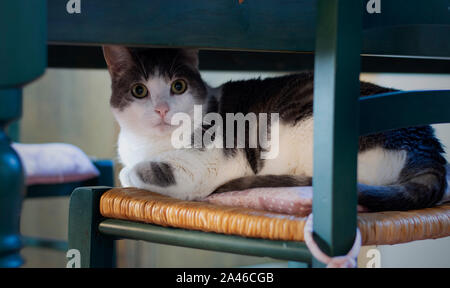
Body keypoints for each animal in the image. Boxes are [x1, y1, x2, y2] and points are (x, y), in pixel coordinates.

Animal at [103, 46, 448, 213]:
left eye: (178, 86)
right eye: (139, 91)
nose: (162, 109)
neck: (152, 143)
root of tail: (428, 148)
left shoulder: (213, 164)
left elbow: (136, 172)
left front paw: (132, 172)